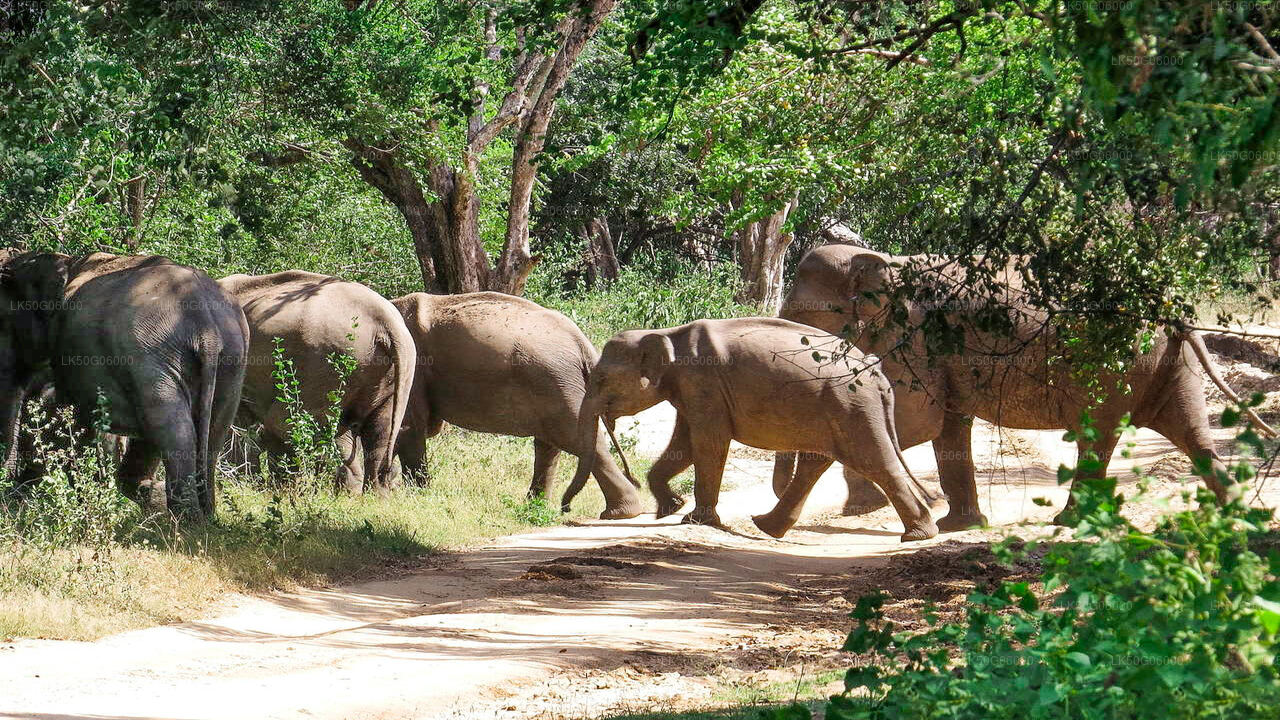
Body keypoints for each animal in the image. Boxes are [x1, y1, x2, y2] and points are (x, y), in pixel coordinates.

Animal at [0, 251, 248, 515]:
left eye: (3, 324)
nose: (13, 487)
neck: (67, 261)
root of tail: (207, 329)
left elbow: (79, 417)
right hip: (233, 359)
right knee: (212, 432)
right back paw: (203, 514)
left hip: (151, 355)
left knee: (171, 429)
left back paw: (185, 518)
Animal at [389, 288, 645, 517]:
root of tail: (581, 342)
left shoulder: (411, 370)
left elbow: (408, 428)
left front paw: (415, 497)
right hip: (557, 387)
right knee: (550, 444)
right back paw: (535, 508)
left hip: (556, 384)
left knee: (575, 440)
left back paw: (620, 513)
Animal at [570, 315, 942, 538]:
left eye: (600, 379)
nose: (566, 509)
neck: (666, 334)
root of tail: (878, 374)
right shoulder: (690, 389)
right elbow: (685, 444)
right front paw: (670, 509)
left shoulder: (703, 382)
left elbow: (708, 442)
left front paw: (695, 520)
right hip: (837, 409)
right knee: (817, 462)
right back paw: (765, 526)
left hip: (852, 407)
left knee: (873, 460)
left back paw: (918, 535)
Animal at [768, 242, 1269, 527]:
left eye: (805, 322)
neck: (885, 263)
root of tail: (1168, 306)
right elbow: (947, 428)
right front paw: (961, 527)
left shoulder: (913, 338)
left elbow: (915, 422)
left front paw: (856, 509)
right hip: (1170, 362)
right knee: (1191, 431)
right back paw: (1240, 515)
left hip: (1114, 361)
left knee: (1098, 433)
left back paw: (1069, 523)